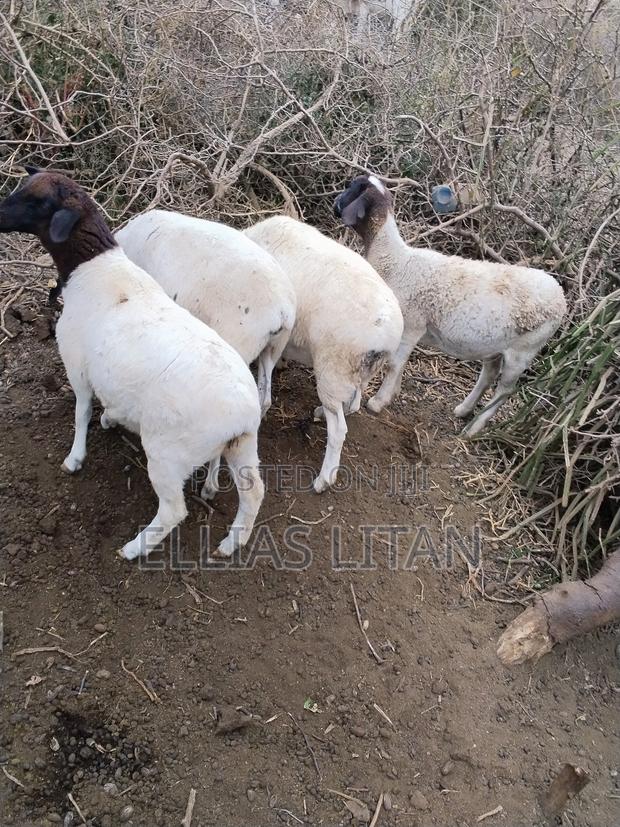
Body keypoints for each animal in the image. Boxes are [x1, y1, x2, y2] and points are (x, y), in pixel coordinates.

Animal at [0, 167, 264, 559]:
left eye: (37, 201)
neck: (93, 269)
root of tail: (243, 413)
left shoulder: (77, 364)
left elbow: (81, 411)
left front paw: (75, 457)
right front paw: (111, 418)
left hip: (168, 454)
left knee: (173, 511)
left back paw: (135, 548)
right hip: (242, 446)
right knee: (253, 493)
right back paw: (231, 544)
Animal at [244, 215, 404, 492]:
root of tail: (388, 332)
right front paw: (282, 362)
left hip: (333, 366)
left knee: (339, 428)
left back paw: (324, 478)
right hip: (357, 371)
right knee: (353, 403)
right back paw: (321, 412)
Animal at [334, 175, 567, 435]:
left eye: (353, 189)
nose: (335, 205)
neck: (395, 261)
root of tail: (560, 295)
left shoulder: (412, 324)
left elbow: (394, 364)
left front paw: (378, 401)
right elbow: (400, 365)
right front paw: (392, 393)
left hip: (523, 351)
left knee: (504, 391)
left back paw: (474, 429)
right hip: (495, 345)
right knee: (488, 375)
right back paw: (464, 410)